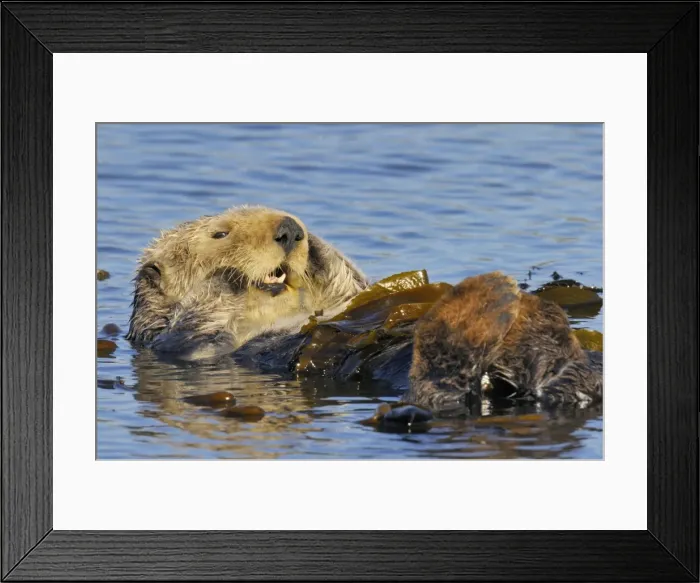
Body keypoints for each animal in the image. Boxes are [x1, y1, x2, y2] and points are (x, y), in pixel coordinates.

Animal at [127, 206, 603, 417]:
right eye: (220, 234)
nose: (288, 232)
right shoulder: (181, 345)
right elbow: (198, 326)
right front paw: (228, 277)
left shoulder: (343, 297)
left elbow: (351, 283)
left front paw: (315, 246)